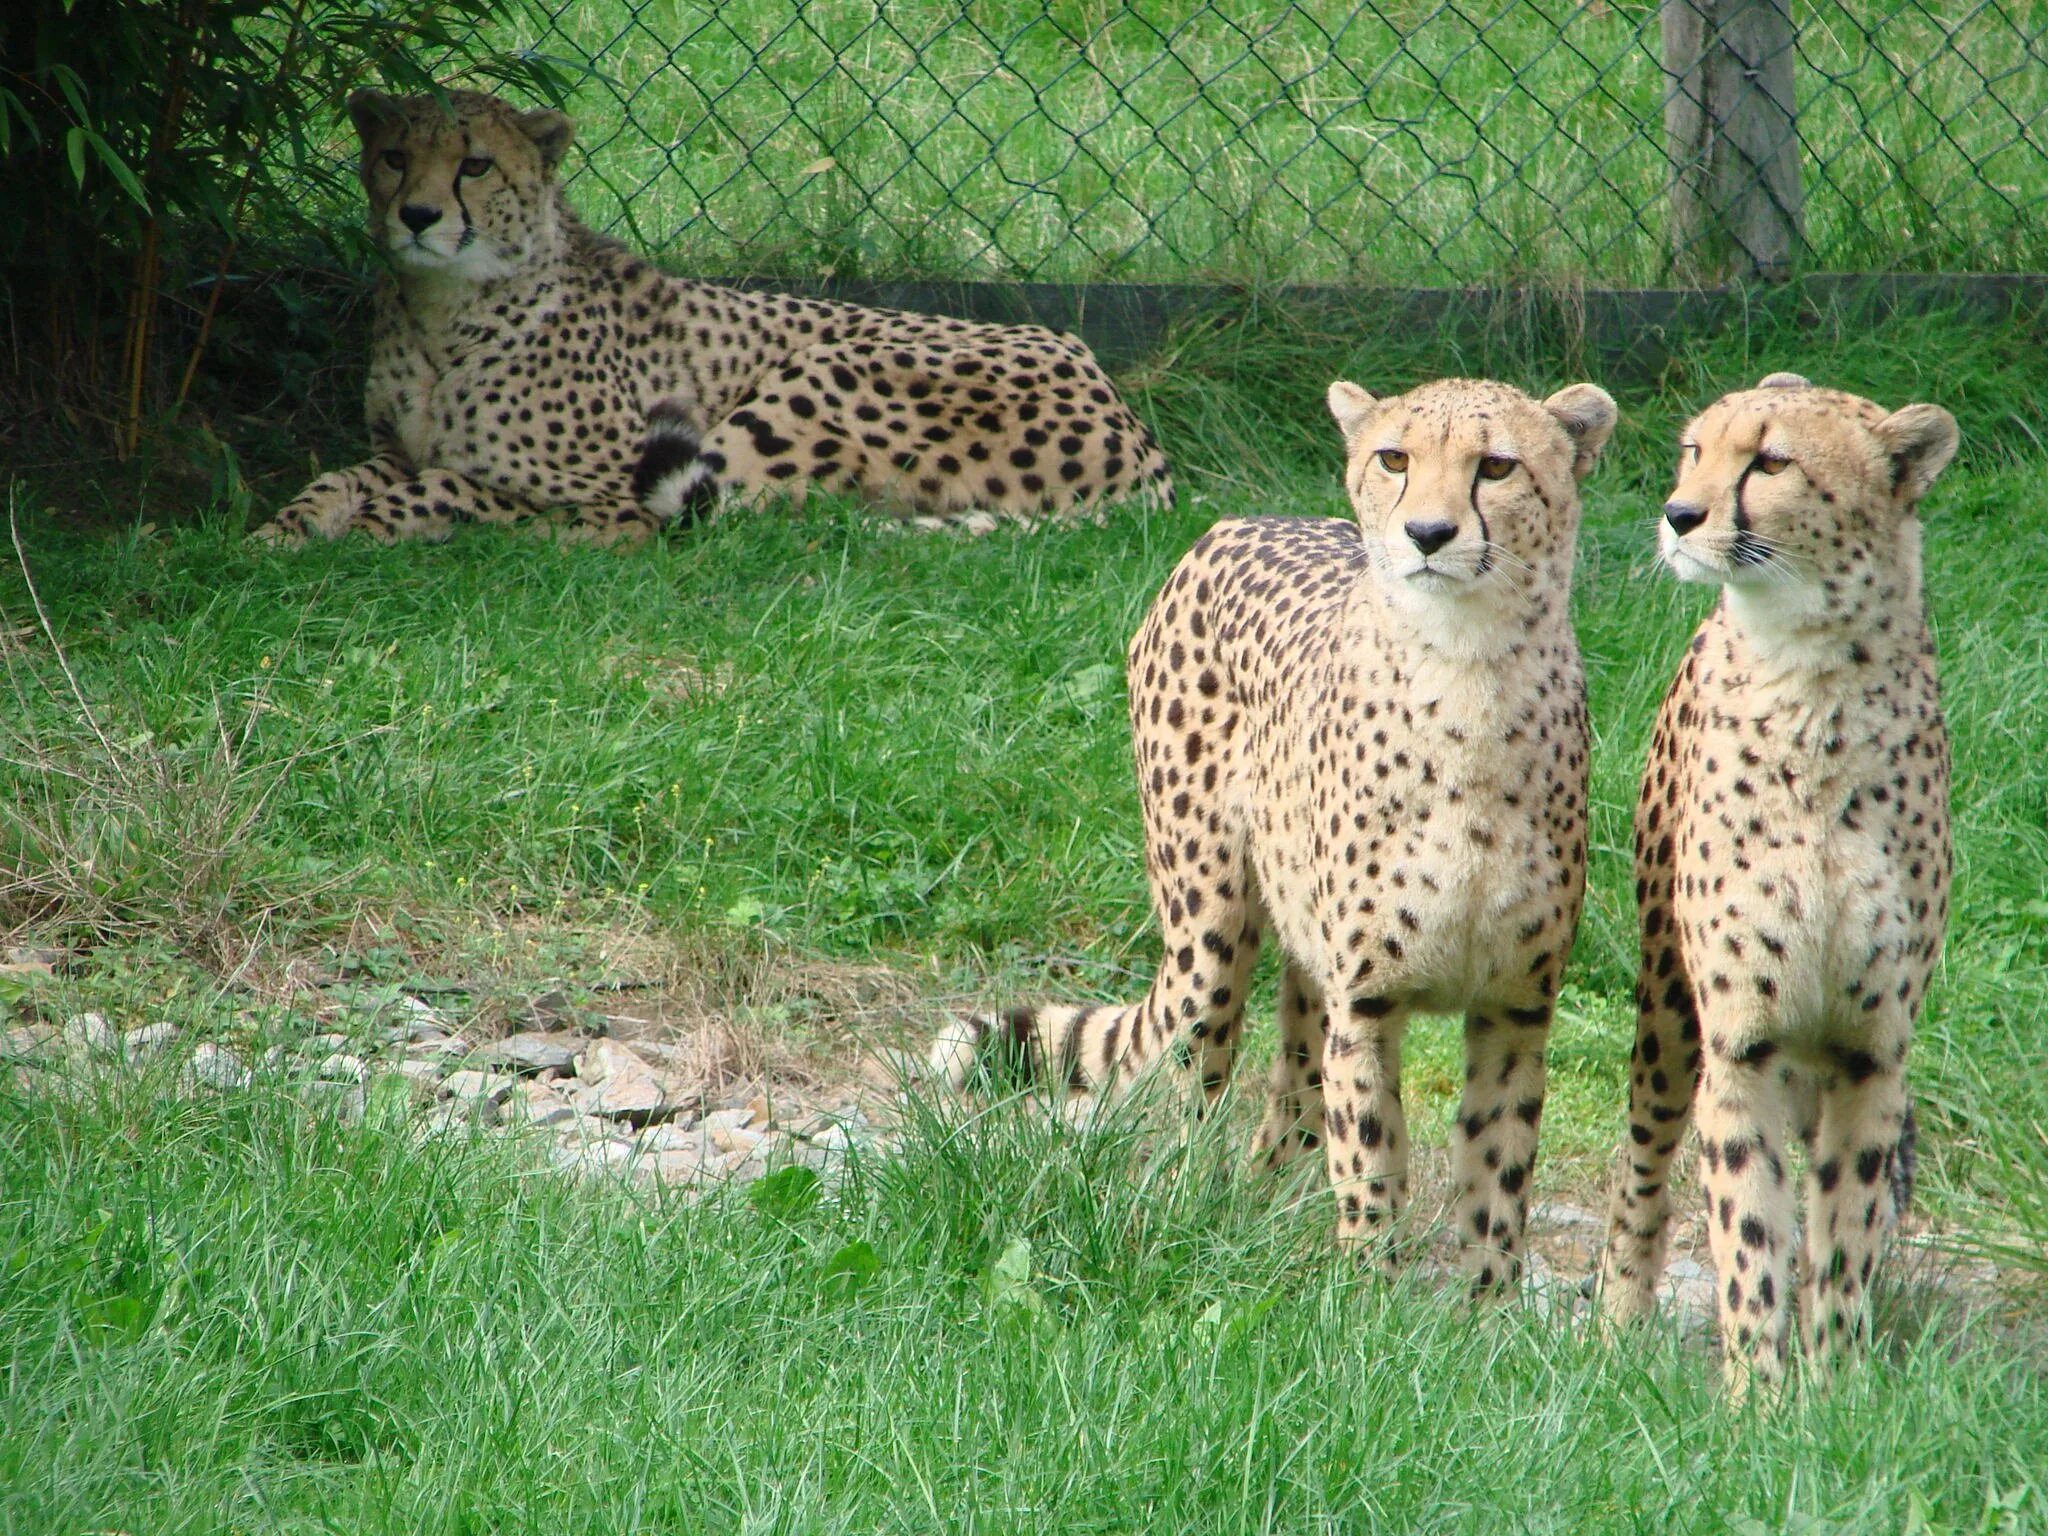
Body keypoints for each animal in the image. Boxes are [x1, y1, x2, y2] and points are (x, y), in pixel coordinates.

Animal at [260, 88, 1171, 548]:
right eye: (393, 157)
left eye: (475, 165)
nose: (416, 216)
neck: (442, 309)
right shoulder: (391, 448)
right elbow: (344, 477)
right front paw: (287, 527)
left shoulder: (605, 485)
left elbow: (459, 486)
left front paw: (375, 526)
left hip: (816, 378)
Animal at [929, 378, 1613, 1294]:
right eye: (1394, 457)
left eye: (1497, 466)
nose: (1428, 534)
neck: (1467, 669)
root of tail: (1239, 522)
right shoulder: (1368, 1001)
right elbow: (1370, 1154)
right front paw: (1365, 1298)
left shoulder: (1515, 1007)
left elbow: (1498, 1175)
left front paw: (1483, 1313)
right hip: (1209, 935)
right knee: (1201, 1074)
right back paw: (1191, 1217)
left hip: (1305, 954)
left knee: (1289, 1093)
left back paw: (1264, 1212)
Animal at [1589, 376, 1957, 1392]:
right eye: (1694, 451)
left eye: (1772, 461)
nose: (1679, 515)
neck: (1812, 681)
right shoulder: (1740, 1045)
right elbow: (1749, 1231)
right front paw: (1756, 1396)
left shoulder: (1872, 1053)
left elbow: (1844, 1234)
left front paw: (1835, 1393)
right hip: (1667, 1015)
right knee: (1643, 1162)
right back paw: (1616, 1326)